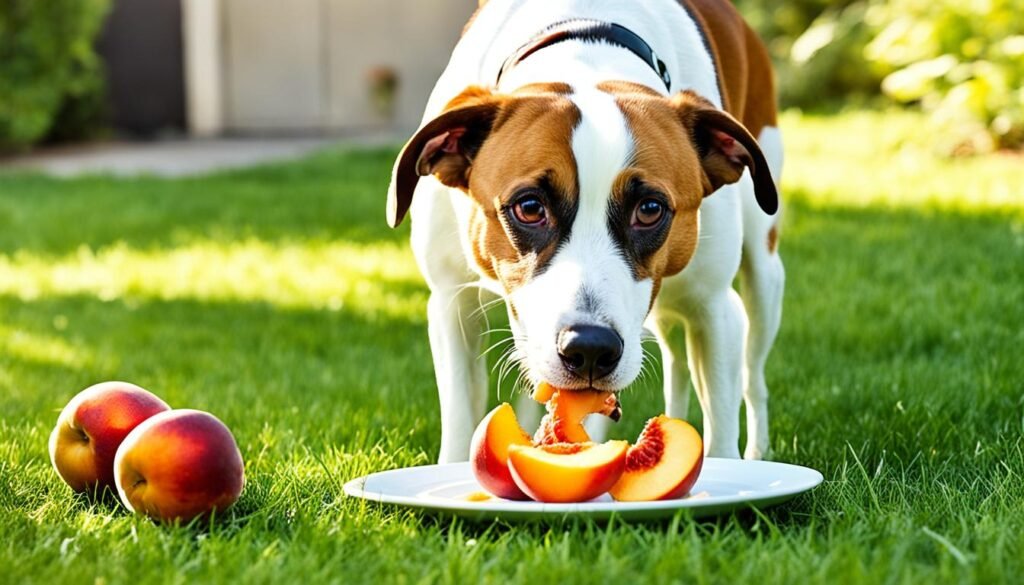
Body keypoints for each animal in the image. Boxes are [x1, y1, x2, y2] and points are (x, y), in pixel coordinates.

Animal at [387, 1, 778, 467]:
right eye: (530, 207)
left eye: (650, 210)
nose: (590, 348)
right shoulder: (451, 303)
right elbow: (463, 417)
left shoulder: (714, 306)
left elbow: (722, 421)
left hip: (763, 277)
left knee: (753, 373)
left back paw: (759, 449)